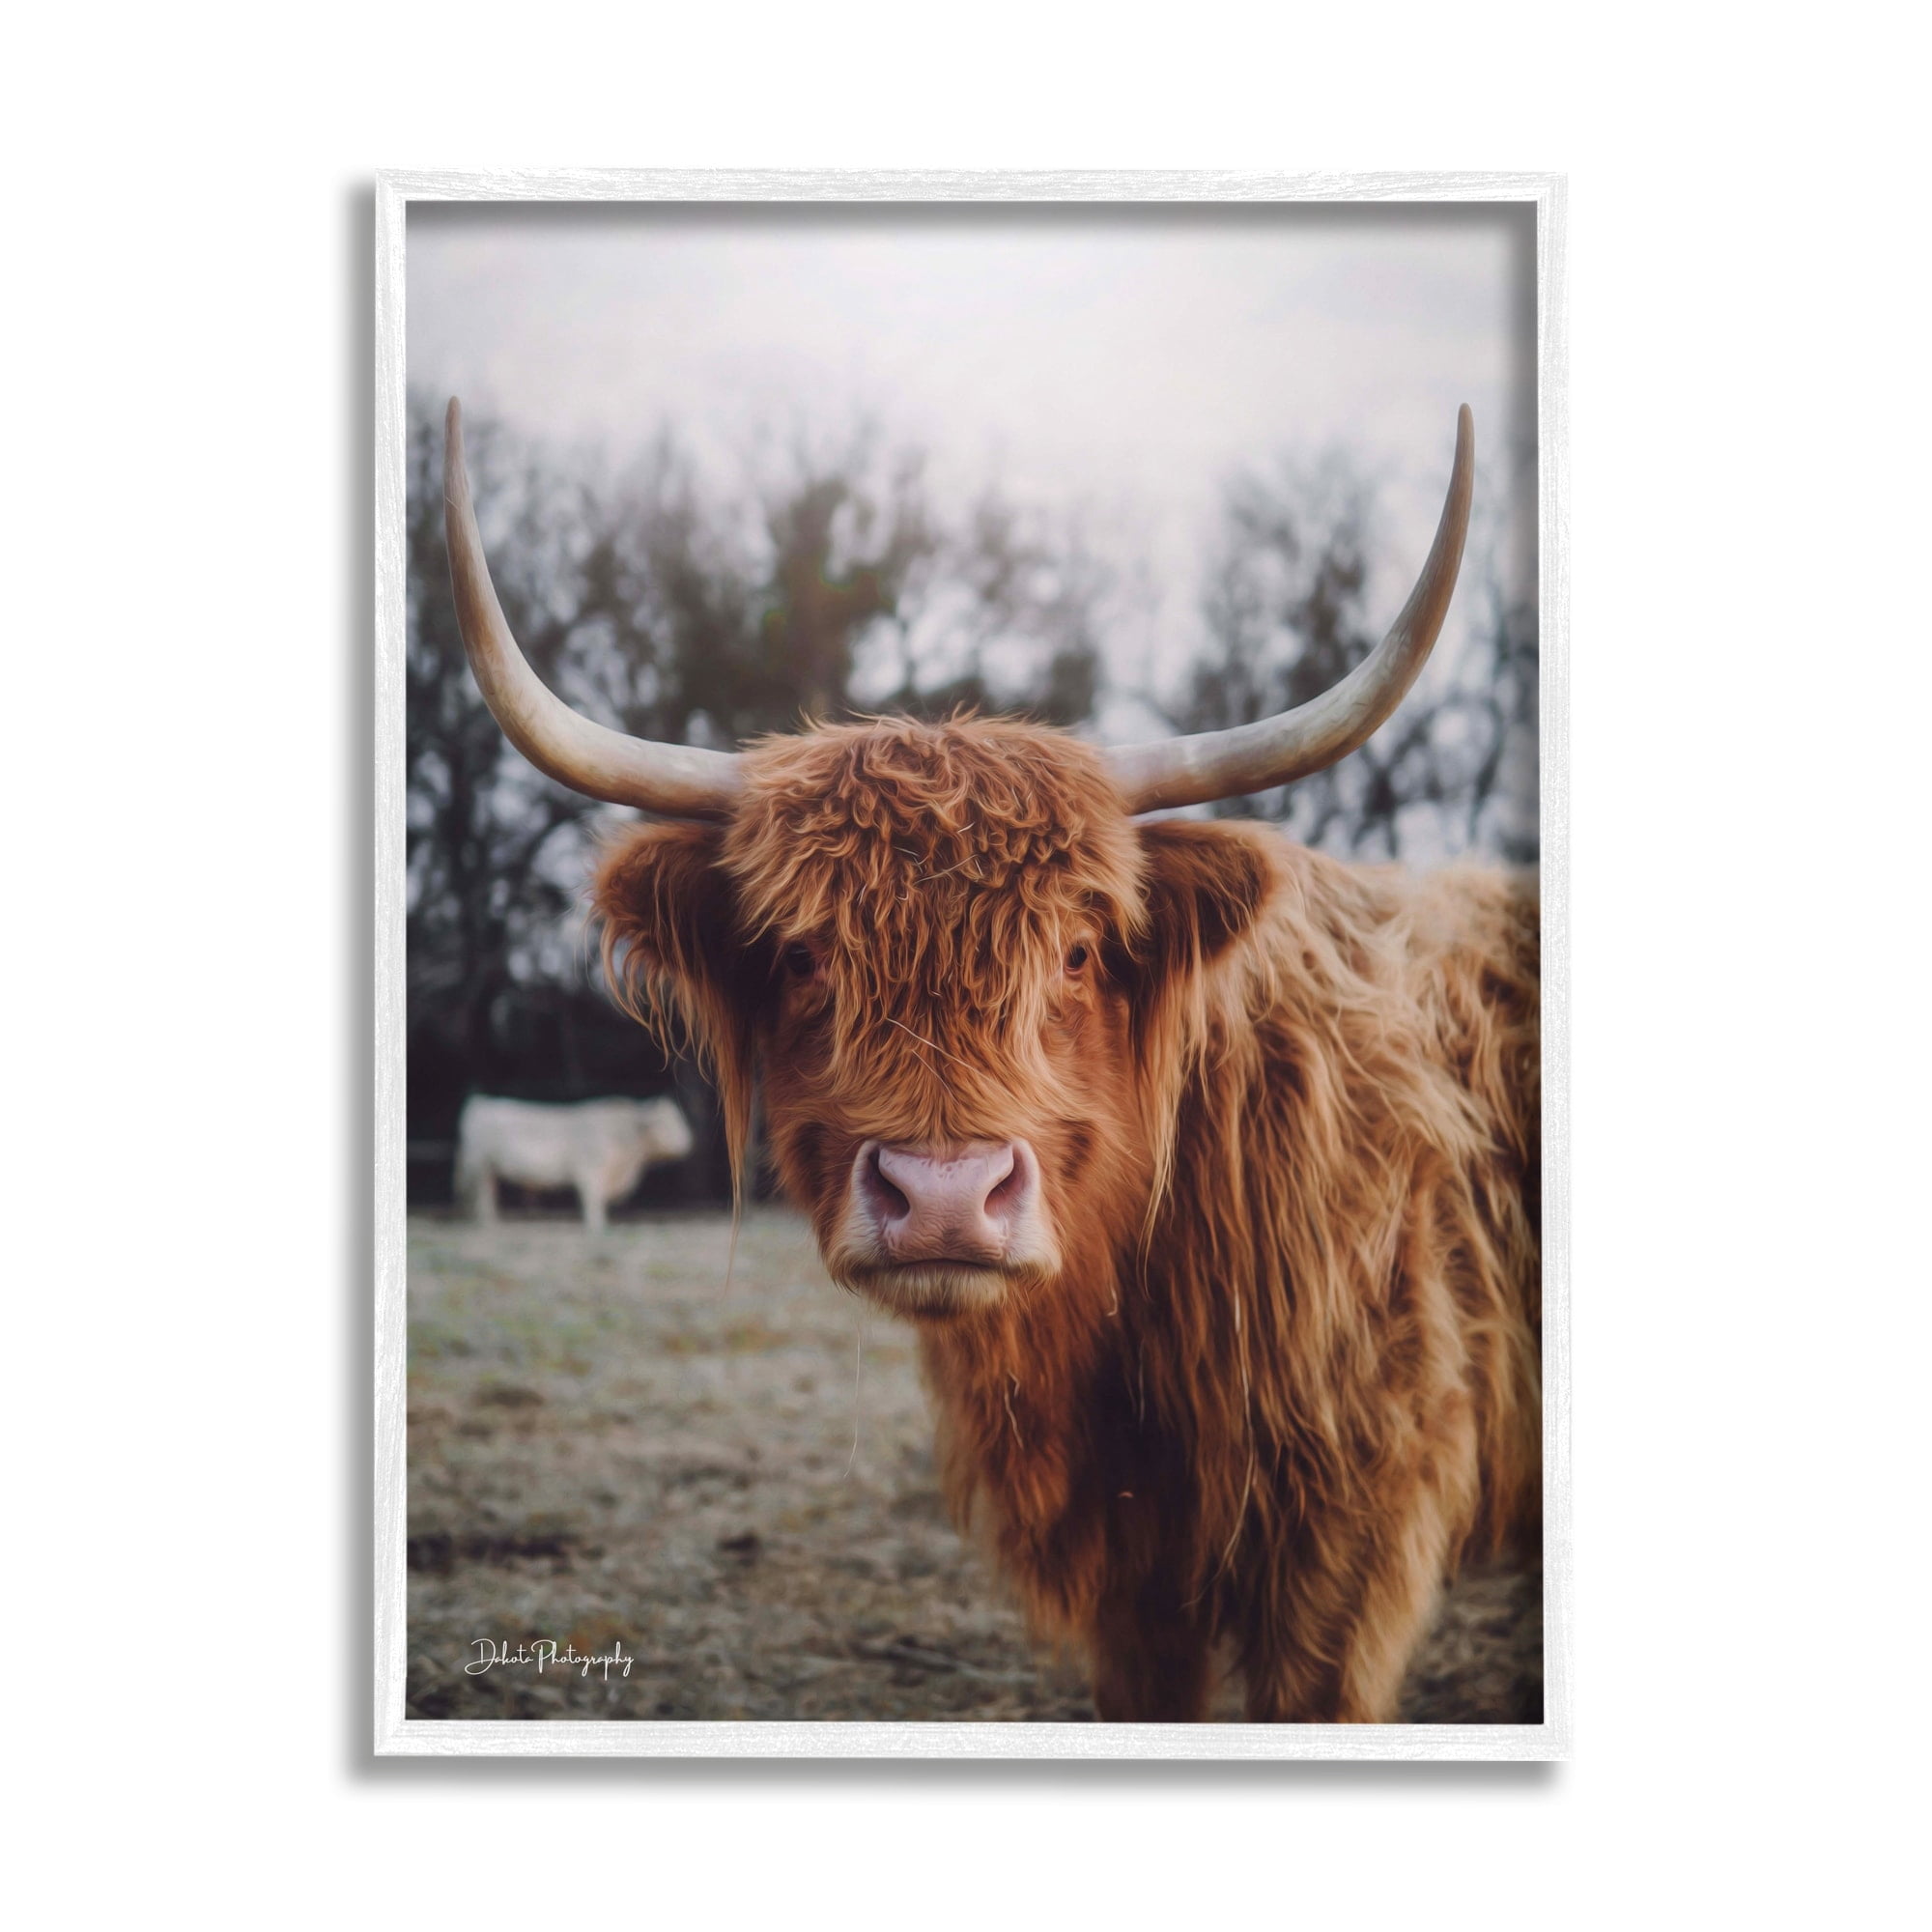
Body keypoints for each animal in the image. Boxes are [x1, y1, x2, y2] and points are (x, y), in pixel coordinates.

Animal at [455, 1094, 694, 1233]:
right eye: (666, 1123)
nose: (689, 1142)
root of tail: (481, 1103)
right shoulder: (589, 1172)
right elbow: (592, 1202)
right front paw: (597, 1227)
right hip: (479, 1165)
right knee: (482, 1196)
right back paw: (488, 1224)